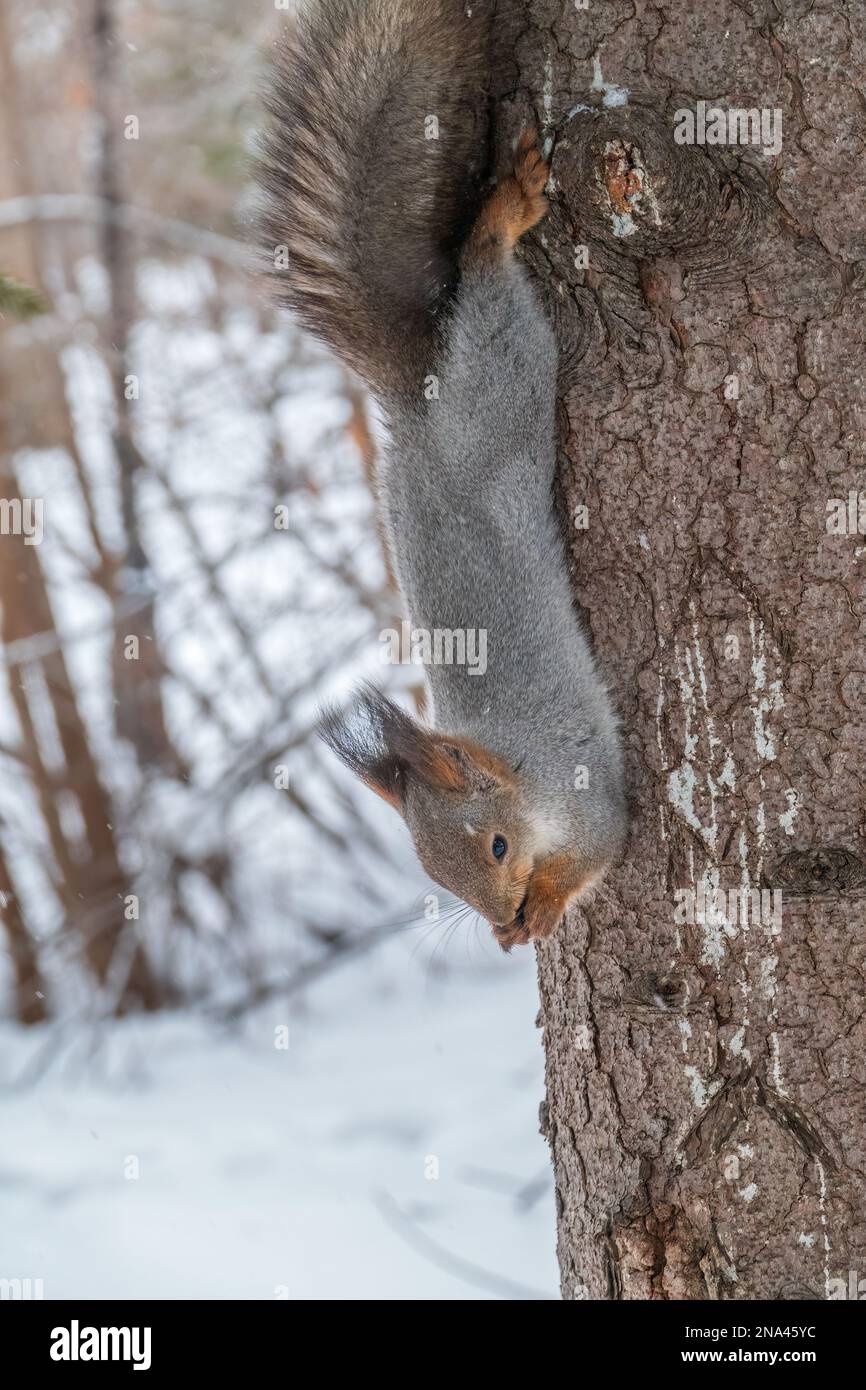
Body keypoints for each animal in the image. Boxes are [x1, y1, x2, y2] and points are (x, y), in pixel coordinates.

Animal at [260, 0, 628, 949]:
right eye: (434, 874)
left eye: (495, 847)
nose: (499, 929)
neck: (523, 776)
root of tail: (416, 404)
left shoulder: (588, 791)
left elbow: (601, 849)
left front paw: (547, 905)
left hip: (505, 375)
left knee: (486, 278)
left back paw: (503, 215)